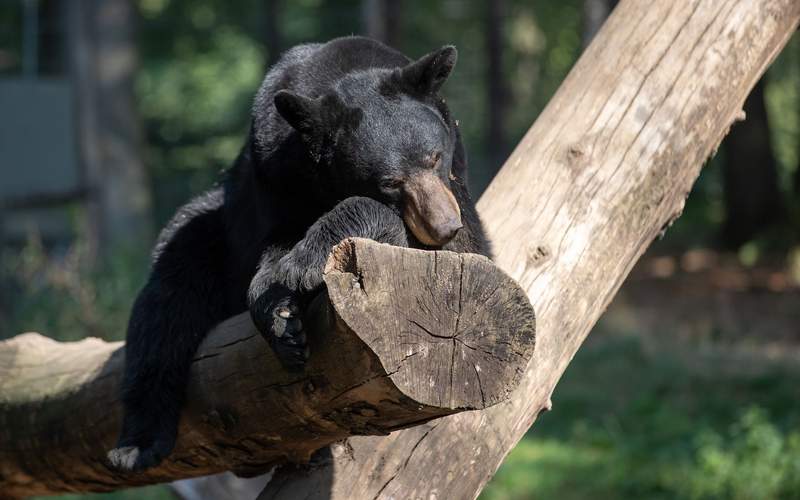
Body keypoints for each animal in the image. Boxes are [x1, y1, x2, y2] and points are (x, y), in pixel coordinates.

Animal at [106, 36, 491, 473]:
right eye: (389, 181)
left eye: (434, 158)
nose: (443, 226)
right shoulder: (273, 173)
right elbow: (270, 251)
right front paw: (282, 317)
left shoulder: (457, 180)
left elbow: (466, 250)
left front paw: (306, 261)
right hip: (208, 230)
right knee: (166, 303)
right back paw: (136, 446)